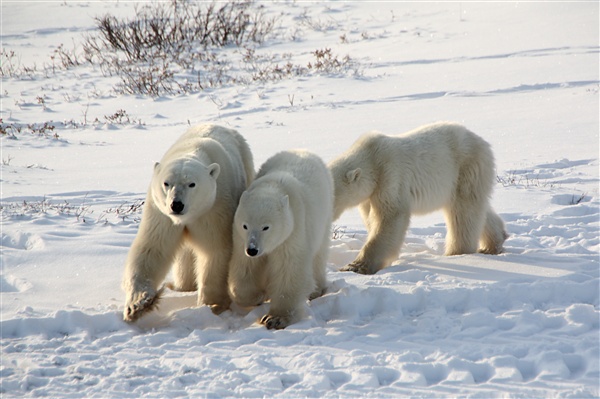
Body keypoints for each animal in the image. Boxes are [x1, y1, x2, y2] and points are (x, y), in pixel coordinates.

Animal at [122, 123, 253, 324]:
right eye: (166, 183)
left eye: (192, 184)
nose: (176, 204)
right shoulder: (161, 214)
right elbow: (153, 247)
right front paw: (138, 304)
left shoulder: (214, 208)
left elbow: (215, 249)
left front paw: (212, 305)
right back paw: (183, 286)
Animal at [229, 150, 336, 332]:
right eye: (245, 225)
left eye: (266, 227)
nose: (252, 249)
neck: (274, 186)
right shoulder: (240, 239)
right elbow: (245, 267)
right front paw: (259, 295)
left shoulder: (294, 232)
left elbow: (289, 270)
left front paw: (275, 318)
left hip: (325, 210)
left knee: (318, 254)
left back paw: (316, 289)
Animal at [328, 122, 506, 276]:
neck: (372, 157)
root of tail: (484, 143)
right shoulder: (370, 195)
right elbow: (371, 218)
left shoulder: (390, 175)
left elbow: (390, 216)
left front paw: (354, 267)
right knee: (479, 209)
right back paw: (493, 244)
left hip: (465, 168)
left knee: (463, 211)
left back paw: (457, 253)